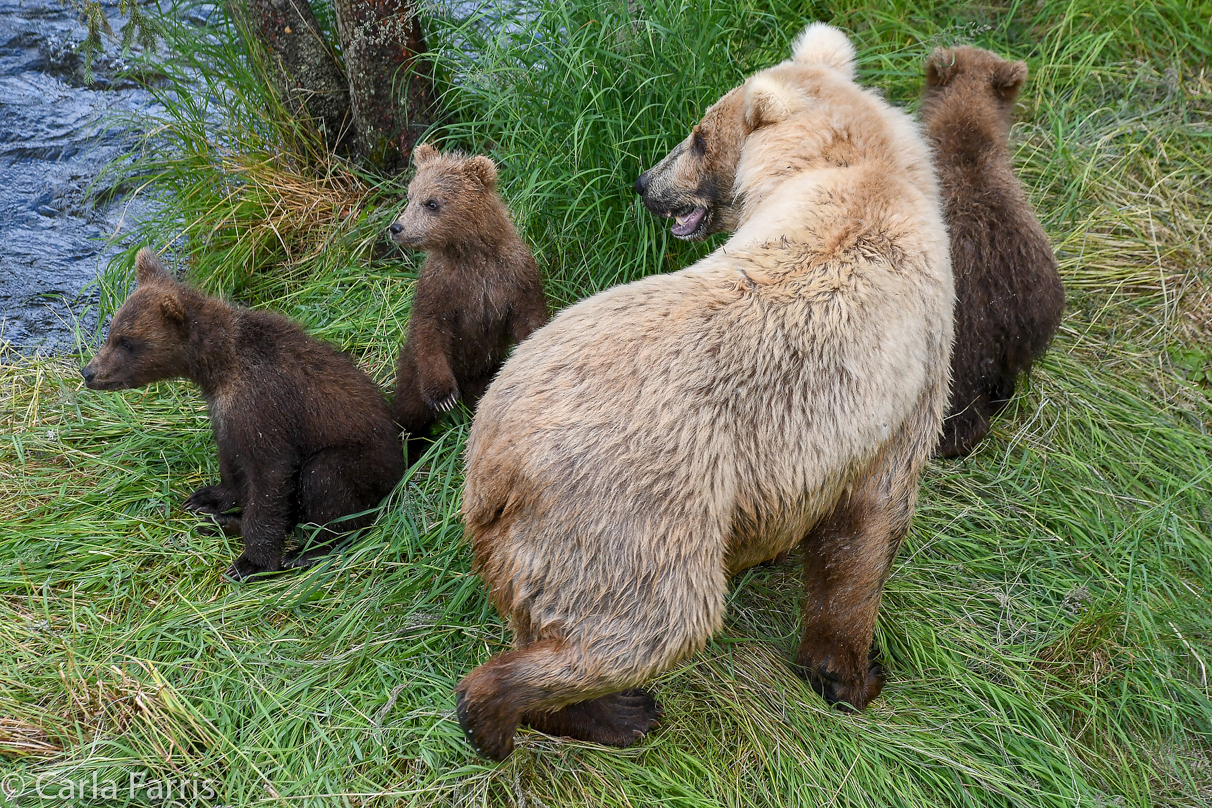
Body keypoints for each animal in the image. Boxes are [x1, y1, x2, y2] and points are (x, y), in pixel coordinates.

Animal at [390, 147, 547, 460]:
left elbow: (529, 317)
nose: (396, 227)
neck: (471, 253)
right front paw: (443, 396)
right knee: (409, 408)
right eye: (409, 195)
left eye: (432, 202)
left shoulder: (515, 277)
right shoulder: (441, 287)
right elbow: (429, 328)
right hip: (412, 370)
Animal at [455, 22, 955, 760]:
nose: (643, 181)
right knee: (649, 623)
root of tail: (493, 455)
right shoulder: (906, 377)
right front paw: (851, 673)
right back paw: (580, 714)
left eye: (693, 136)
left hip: (533, 530)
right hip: (630, 514)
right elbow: (867, 529)